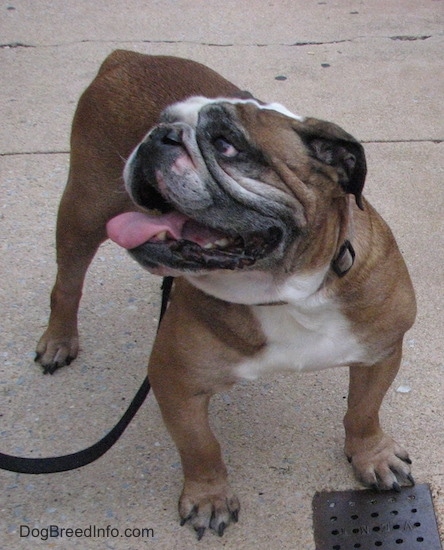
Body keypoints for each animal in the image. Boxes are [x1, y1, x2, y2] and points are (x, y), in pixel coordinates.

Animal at [35, 49, 416, 540]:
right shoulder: (176, 380)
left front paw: (372, 456)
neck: (289, 292)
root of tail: (126, 57)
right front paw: (208, 497)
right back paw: (58, 340)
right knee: (67, 283)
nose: (159, 136)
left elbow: (364, 412)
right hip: (85, 208)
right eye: (162, 124)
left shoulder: (380, 352)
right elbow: (200, 446)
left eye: (225, 145)